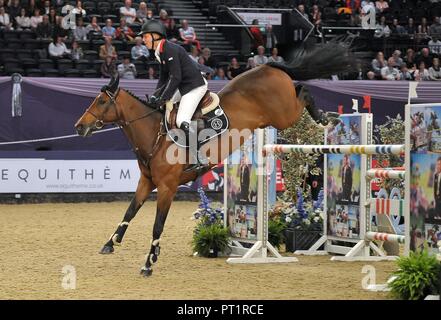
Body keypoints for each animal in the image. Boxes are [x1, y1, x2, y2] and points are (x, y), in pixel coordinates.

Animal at [74, 42, 352, 276]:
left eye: (101, 101)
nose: (79, 127)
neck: (154, 134)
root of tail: (269, 65)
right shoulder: (147, 182)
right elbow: (130, 211)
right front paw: (111, 242)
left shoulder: (167, 188)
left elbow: (157, 225)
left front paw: (149, 263)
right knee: (300, 88)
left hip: (285, 115)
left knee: (303, 90)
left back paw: (327, 117)